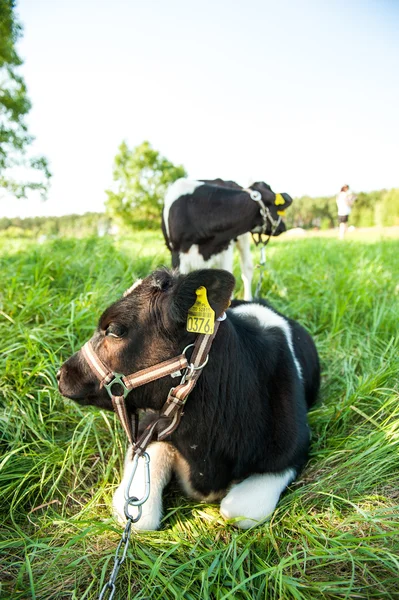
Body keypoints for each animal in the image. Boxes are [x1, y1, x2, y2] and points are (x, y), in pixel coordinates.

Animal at [57, 268, 320, 528]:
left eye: (113, 330)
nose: (61, 374)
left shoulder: (292, 451)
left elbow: (241, 510)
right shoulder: (150, 426)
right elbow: (139, 513)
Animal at [162, 178, 294, 300]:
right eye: (279, 209)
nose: (283, 227)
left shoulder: (225, 247)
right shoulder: (177, 255)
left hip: (242, 239)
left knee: (247, 268)